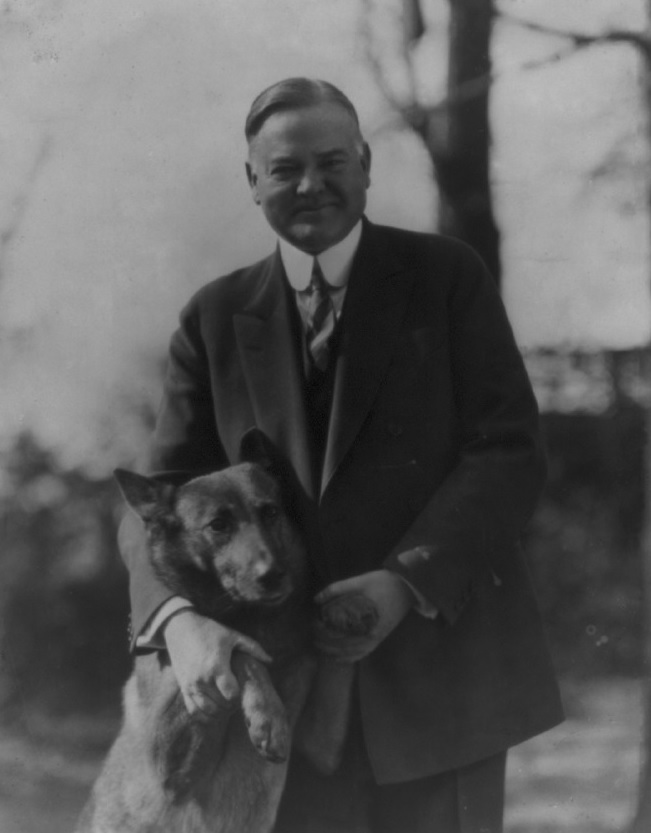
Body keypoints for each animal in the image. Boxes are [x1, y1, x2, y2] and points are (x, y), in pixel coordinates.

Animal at [76, 436, 376, 832]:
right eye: (218, 525)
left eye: (270, 512)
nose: (273, 575)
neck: (255, 618)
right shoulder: (170, 764)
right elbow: (240, 650)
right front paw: (268, 715)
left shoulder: (320, 746)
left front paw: (342, 606)